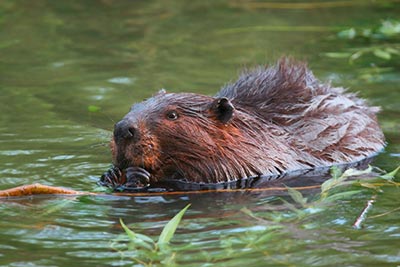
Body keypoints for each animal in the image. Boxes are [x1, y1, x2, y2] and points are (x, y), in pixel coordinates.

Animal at [98, 59, 386, 192]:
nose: (123, 129)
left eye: (173, 115)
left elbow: (204, 177)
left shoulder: (244, 161)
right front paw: (111, 174)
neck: (254, 134)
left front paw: (138, 176)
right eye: (135, 105)